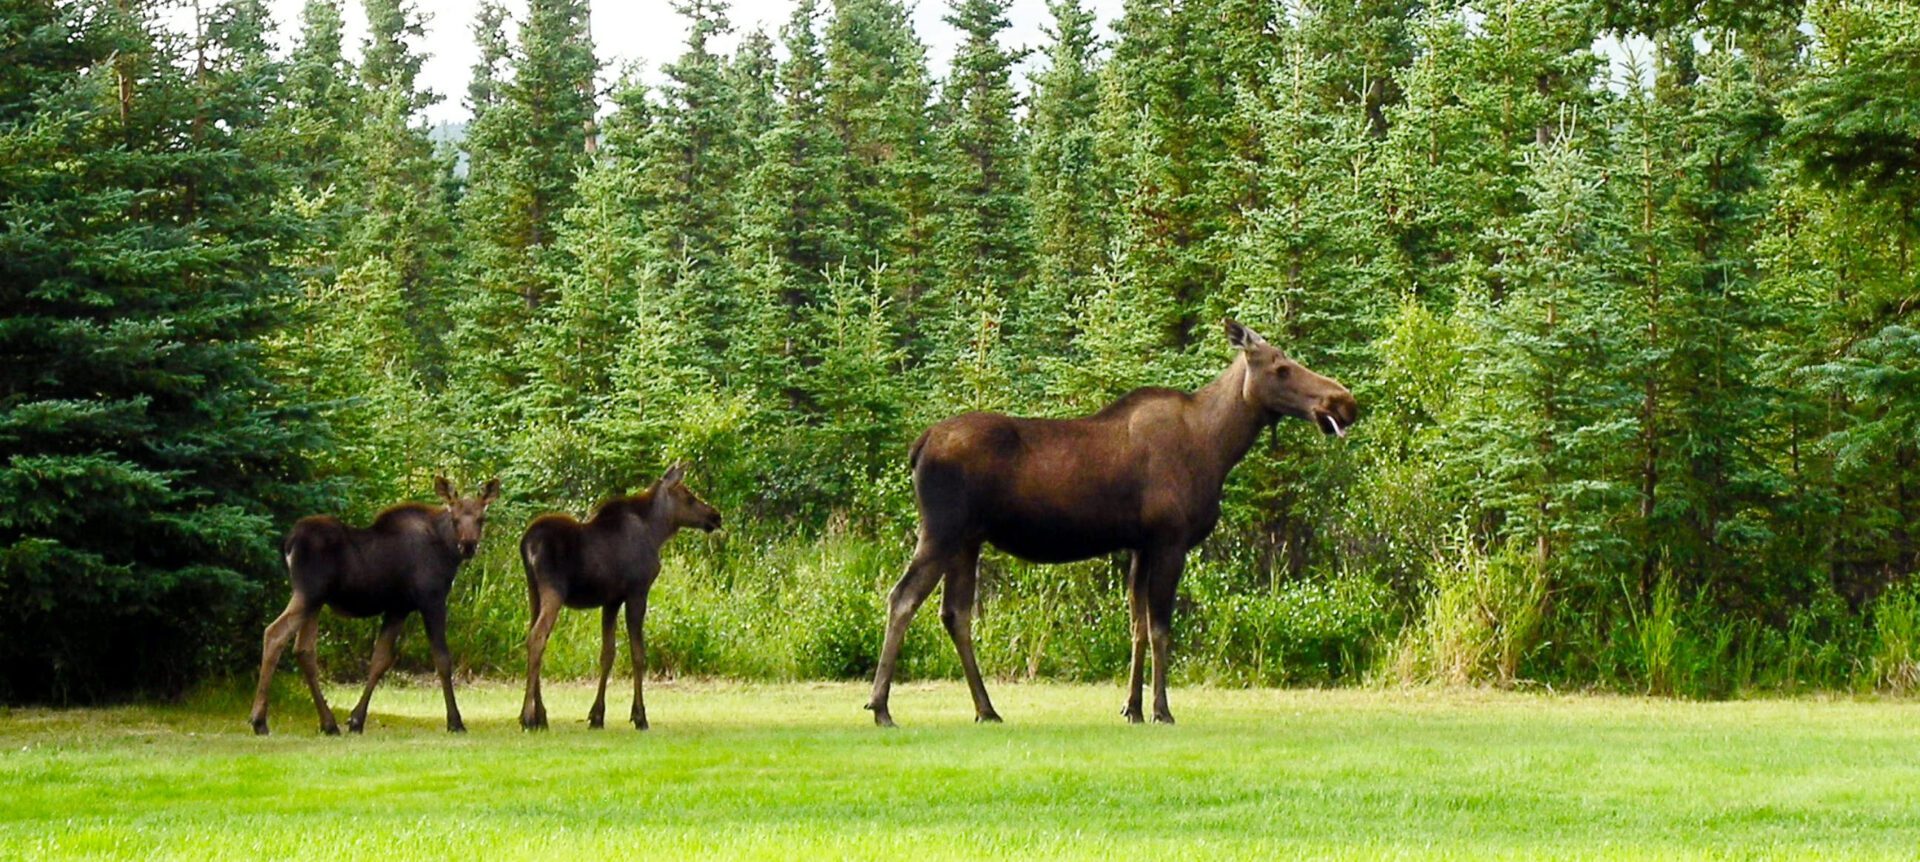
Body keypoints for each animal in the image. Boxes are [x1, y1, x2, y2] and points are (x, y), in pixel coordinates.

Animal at [249, 476, 503, 733]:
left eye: (481, 518)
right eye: (455, 519)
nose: (468, 545)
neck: (447, 552)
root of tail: (289, 543)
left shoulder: (398, 608)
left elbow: (380, 659)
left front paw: (356, 720)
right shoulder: (431, 600)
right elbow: (442, 659)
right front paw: (455, 721)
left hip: (314, 601)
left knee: (304, 649)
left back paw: (329, 723)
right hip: (308, 593)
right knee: (274, 633)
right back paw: (259, 721)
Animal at [518, 460, 721, 729]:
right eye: (688, 496)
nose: (715, 516)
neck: (656, 531)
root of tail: (527, 544)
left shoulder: (611, 600)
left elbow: (608, 653)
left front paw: (597, 715)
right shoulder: (637, 592)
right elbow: (638, 654)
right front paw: (640, 715)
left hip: (533, 592)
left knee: (533, 636)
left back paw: (540, 715)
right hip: (554, 590)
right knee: (538, 637)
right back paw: (528, 716)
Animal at [864, 318, 1359, 721]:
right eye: (1281, 367)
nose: (1344, 401)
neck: (1217, 447)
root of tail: (919, 445)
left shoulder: (1140, 544)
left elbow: (1136, 626)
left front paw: (1132, 708)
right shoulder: (1169, 539)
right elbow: (1160, 628)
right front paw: (1161, 709)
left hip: (968, 540)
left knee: (955, 612)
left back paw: (986, 709)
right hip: (942, 531)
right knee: (902, 598)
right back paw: (881, 706)